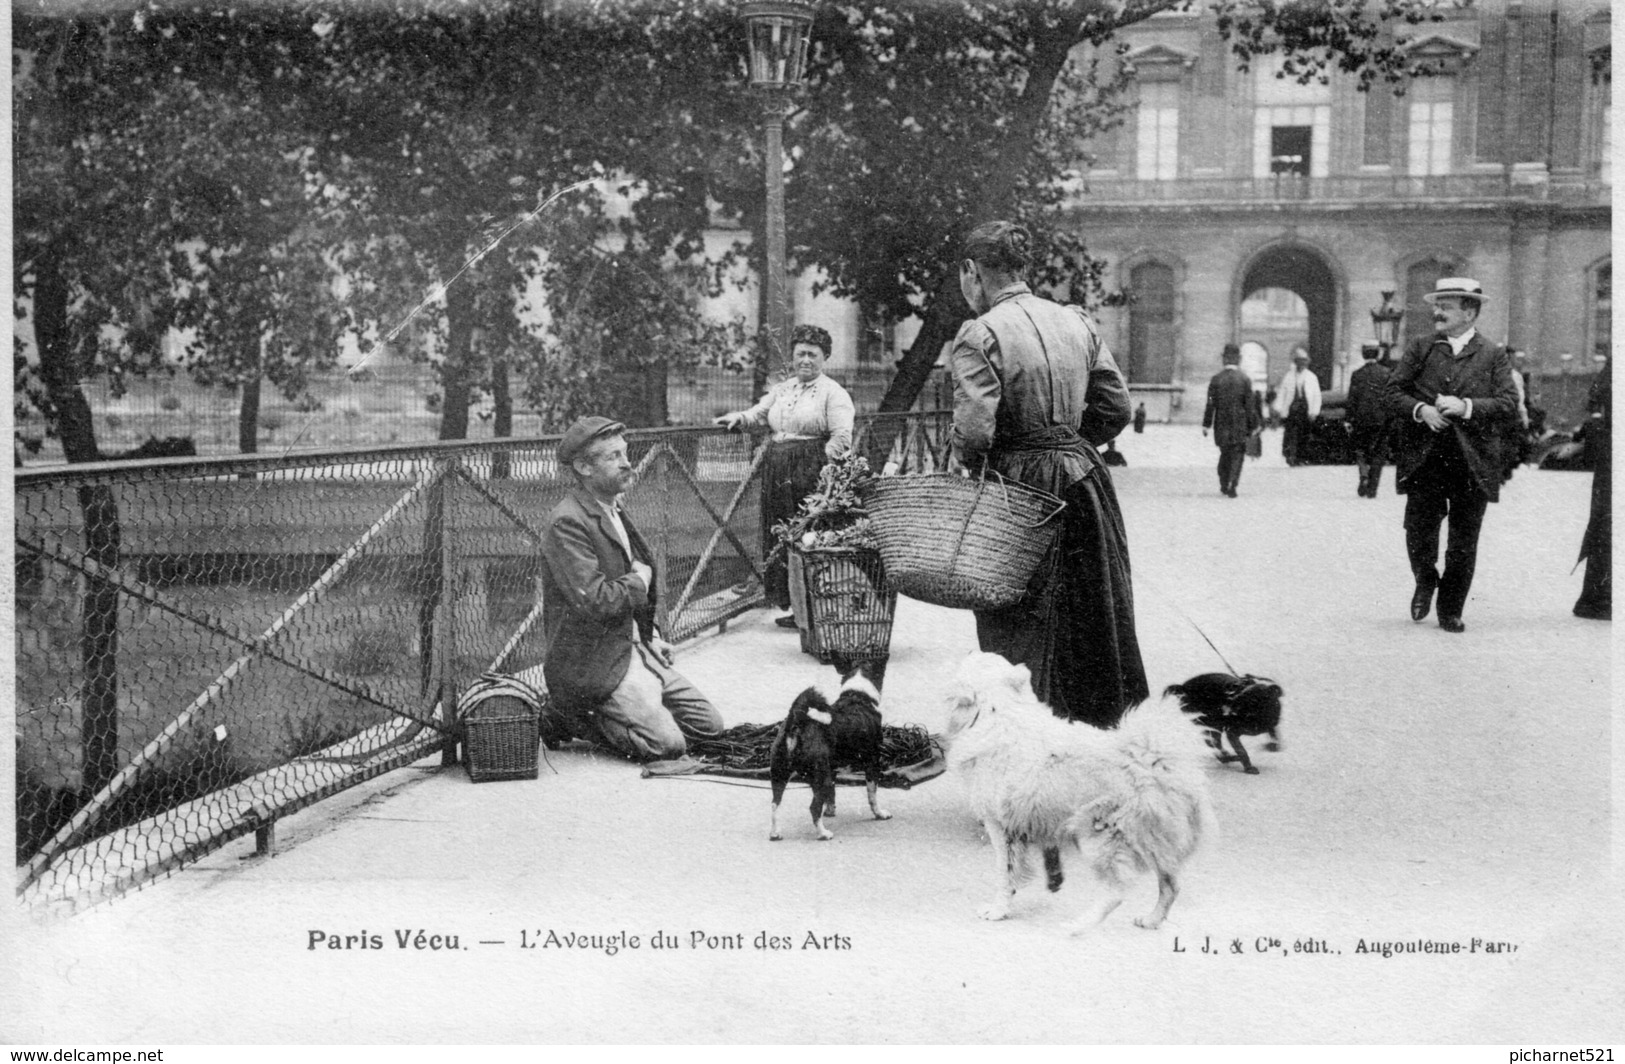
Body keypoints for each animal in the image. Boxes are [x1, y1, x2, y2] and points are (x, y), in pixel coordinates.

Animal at [763, 653, 890, 844]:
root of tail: (796, 722)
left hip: (780, 774)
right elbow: (872, 793)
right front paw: (879, 813)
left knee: (775, 804)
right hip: (819, 775)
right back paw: (823, 833)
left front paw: (830, 810)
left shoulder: (832, 769)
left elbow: (832, 791)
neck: (858, 695)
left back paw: (775, 833)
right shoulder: (872, 762)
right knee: (813, 807)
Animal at [949, 649, 1215, 935]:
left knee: (1116, 893)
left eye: (977, 659)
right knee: (1171, 885)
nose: (970, 650)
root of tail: (1153, 764)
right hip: (1150, 843)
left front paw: (998, 911)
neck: (1000, 713)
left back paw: (1078, 926)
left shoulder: (1000, 828)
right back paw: (1151, 920)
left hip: (1099, 839)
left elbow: (1005, 875)